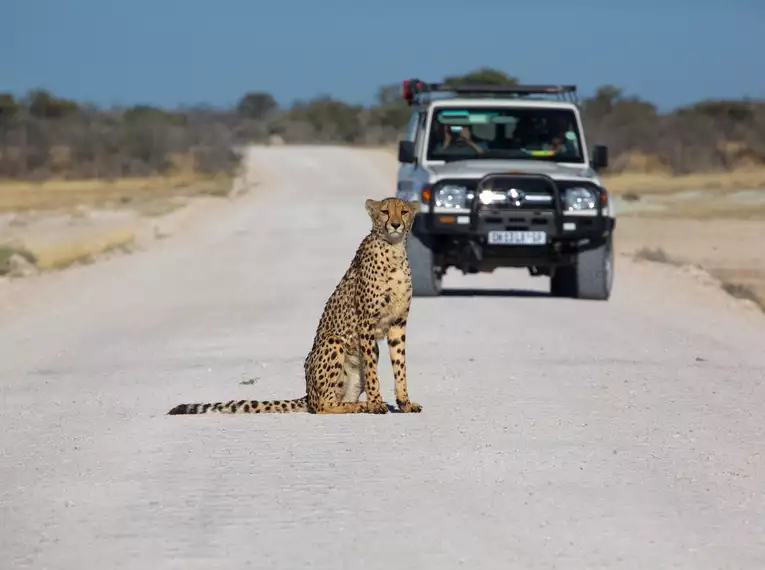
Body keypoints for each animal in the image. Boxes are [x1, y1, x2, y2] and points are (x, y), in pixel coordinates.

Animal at [165, 197, 424, 414]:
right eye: (384, 211)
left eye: (403, 211)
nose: (395, 225)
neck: (393, 250)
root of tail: (308, 393)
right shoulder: (366, 323)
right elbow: (372, 371)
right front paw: (377, 403)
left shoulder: (398, 323)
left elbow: (400, 366)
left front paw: (405, 402)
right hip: (333, 342)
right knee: (322, 406)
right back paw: (359, 406)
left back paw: (356, 404)